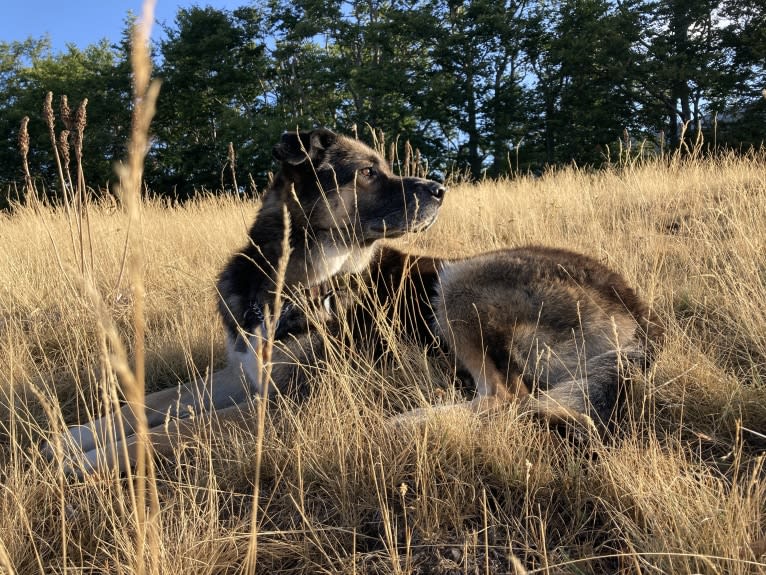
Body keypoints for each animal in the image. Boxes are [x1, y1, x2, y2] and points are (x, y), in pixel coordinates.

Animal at [48, 128, 664, 474]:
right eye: (368, 172)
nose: (441, 189)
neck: (293, 280)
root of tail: (638, 318)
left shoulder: (288, 400)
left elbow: (174, 430)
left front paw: (91, 460)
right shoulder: (244, 372)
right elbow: (148, 401)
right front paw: (73, 435)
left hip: (461, 279)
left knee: (504, 397)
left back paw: (410, 422)